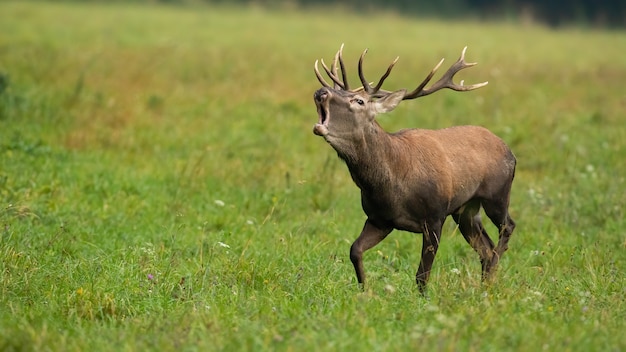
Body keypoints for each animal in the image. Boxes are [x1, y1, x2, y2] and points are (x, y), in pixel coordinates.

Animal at [310, 44, 516, 292]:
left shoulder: (435, 216)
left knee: (507, 228)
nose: (321, 92)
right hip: (466, 209)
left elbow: (422, 275)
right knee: (485, 248)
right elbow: (354, 250)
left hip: (497, 194)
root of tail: (510, 151)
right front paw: (364, 291)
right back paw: (485, 287)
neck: (391, 186)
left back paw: (495, 266)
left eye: (359, 101)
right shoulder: (379, 219)